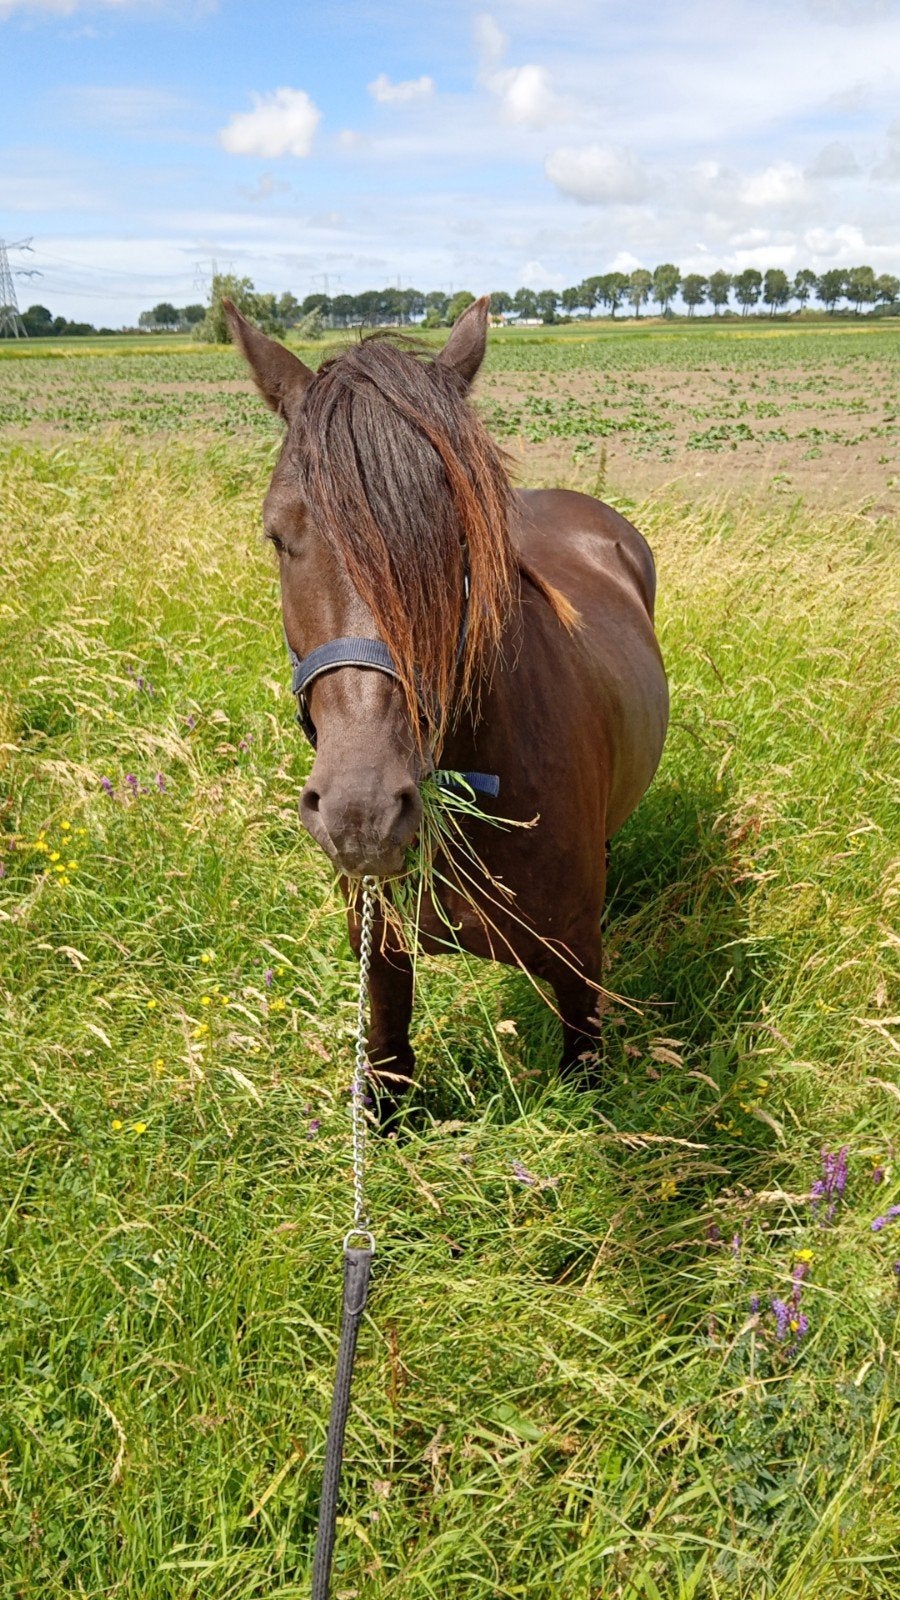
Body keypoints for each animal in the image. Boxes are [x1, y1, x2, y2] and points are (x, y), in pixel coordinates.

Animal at [224, 296, 669, 1119]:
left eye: (461, 539)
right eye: (277, 535)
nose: (362, 814)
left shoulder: (579, 967)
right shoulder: (379, 948)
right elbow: (387, 1060)